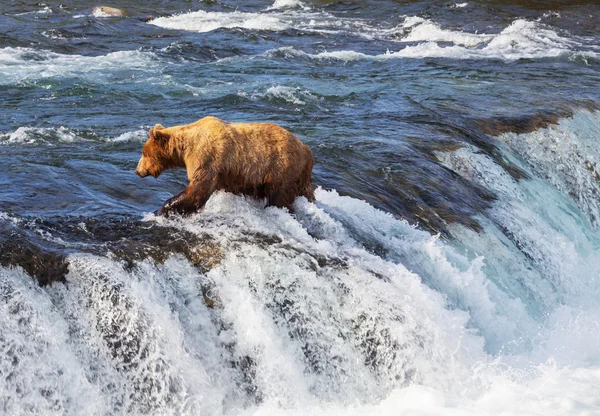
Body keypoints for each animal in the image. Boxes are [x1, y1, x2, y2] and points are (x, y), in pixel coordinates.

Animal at [135, 115, 314, 216]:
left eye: (144, 153)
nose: (138, 171)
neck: (185, 149)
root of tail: (307, 150)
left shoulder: (206, 159)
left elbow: (197, 189)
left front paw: (163, 209)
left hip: (281, 169)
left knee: (279, 198)